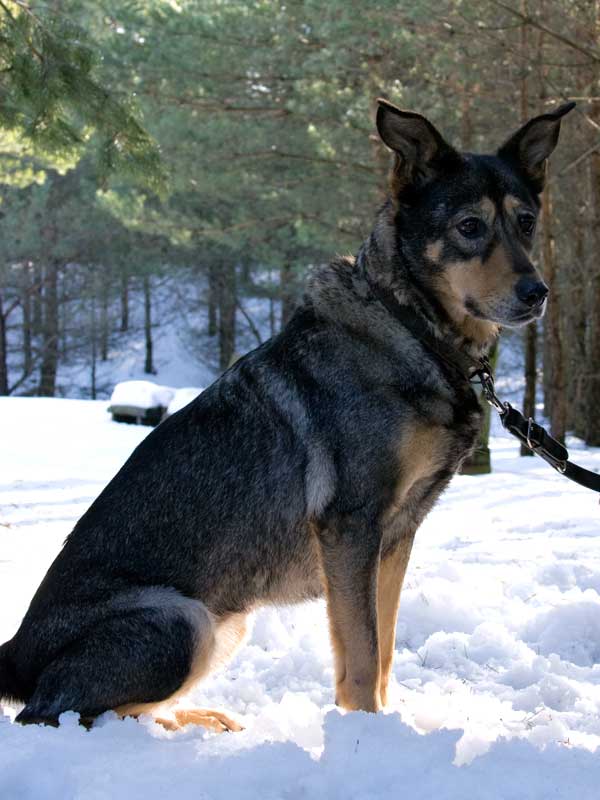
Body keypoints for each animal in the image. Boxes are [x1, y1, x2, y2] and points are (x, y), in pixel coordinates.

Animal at [0, 98, 574, 730]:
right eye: (469, 227)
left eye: (526, 222)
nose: (538, 293)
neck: (412, 327)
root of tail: (16, 655)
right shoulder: (350, 525)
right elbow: (363, 653)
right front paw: (367, 733)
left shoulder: (395, 536)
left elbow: (384, 647)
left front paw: (390, 726)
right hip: (180, 620)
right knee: (63, 714)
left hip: (227, 622)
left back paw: (202, 719)